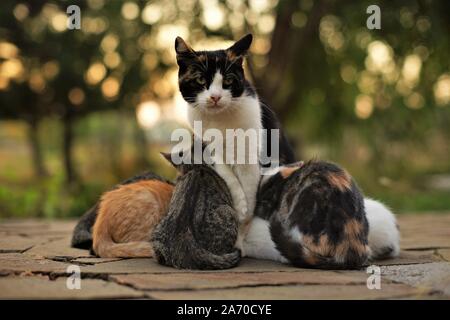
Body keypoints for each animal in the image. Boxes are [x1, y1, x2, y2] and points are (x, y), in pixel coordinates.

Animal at [175, 33, 296, 252]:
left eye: (229, 80)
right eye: (200, 79)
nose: (215, 97)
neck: (220, 120)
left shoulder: (251, 154)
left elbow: (249, 187)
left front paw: (241, 232)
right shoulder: (208, 147)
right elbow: (226, 173)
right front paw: (239, 206)